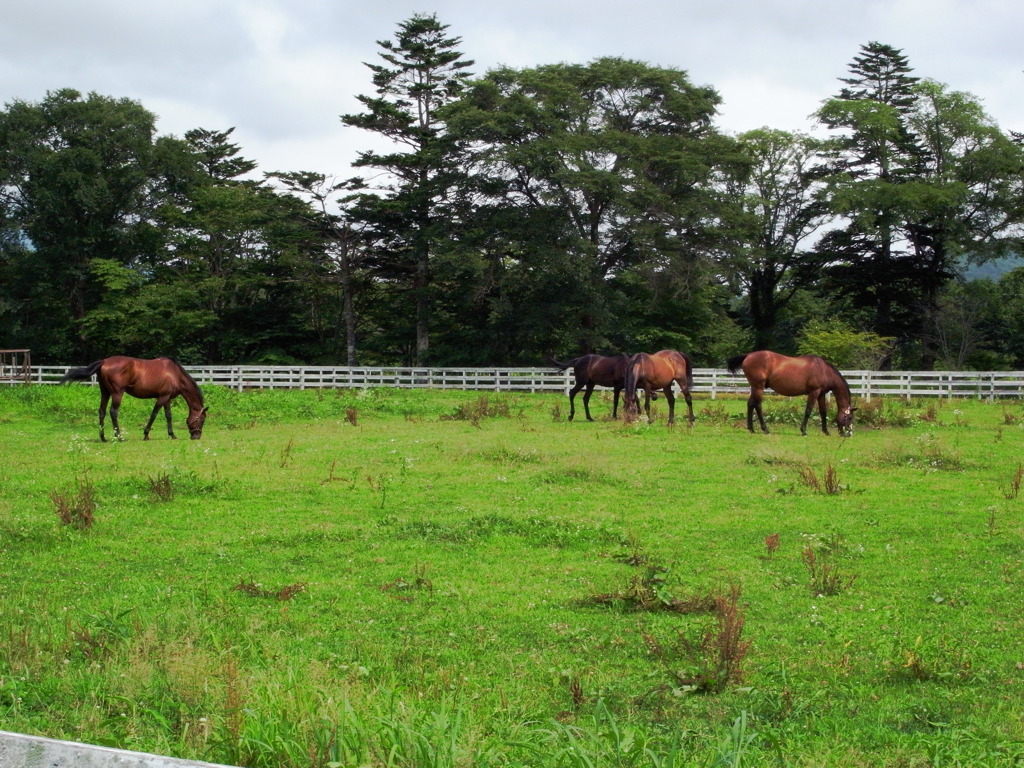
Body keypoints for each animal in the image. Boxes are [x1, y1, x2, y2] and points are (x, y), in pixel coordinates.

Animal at [59, 358, 207, 442]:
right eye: (202, 420)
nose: (196, 437)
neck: (174, 374)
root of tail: (104, 361)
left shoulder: (167, 398)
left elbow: (168, 416)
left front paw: (172, 435)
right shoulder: (162, 398)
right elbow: (154, 415)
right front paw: (146, 435)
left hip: (105, 392)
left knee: (102, 411)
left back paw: (103, 437)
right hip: (117, 393)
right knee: (113, 412)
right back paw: (119, 437)